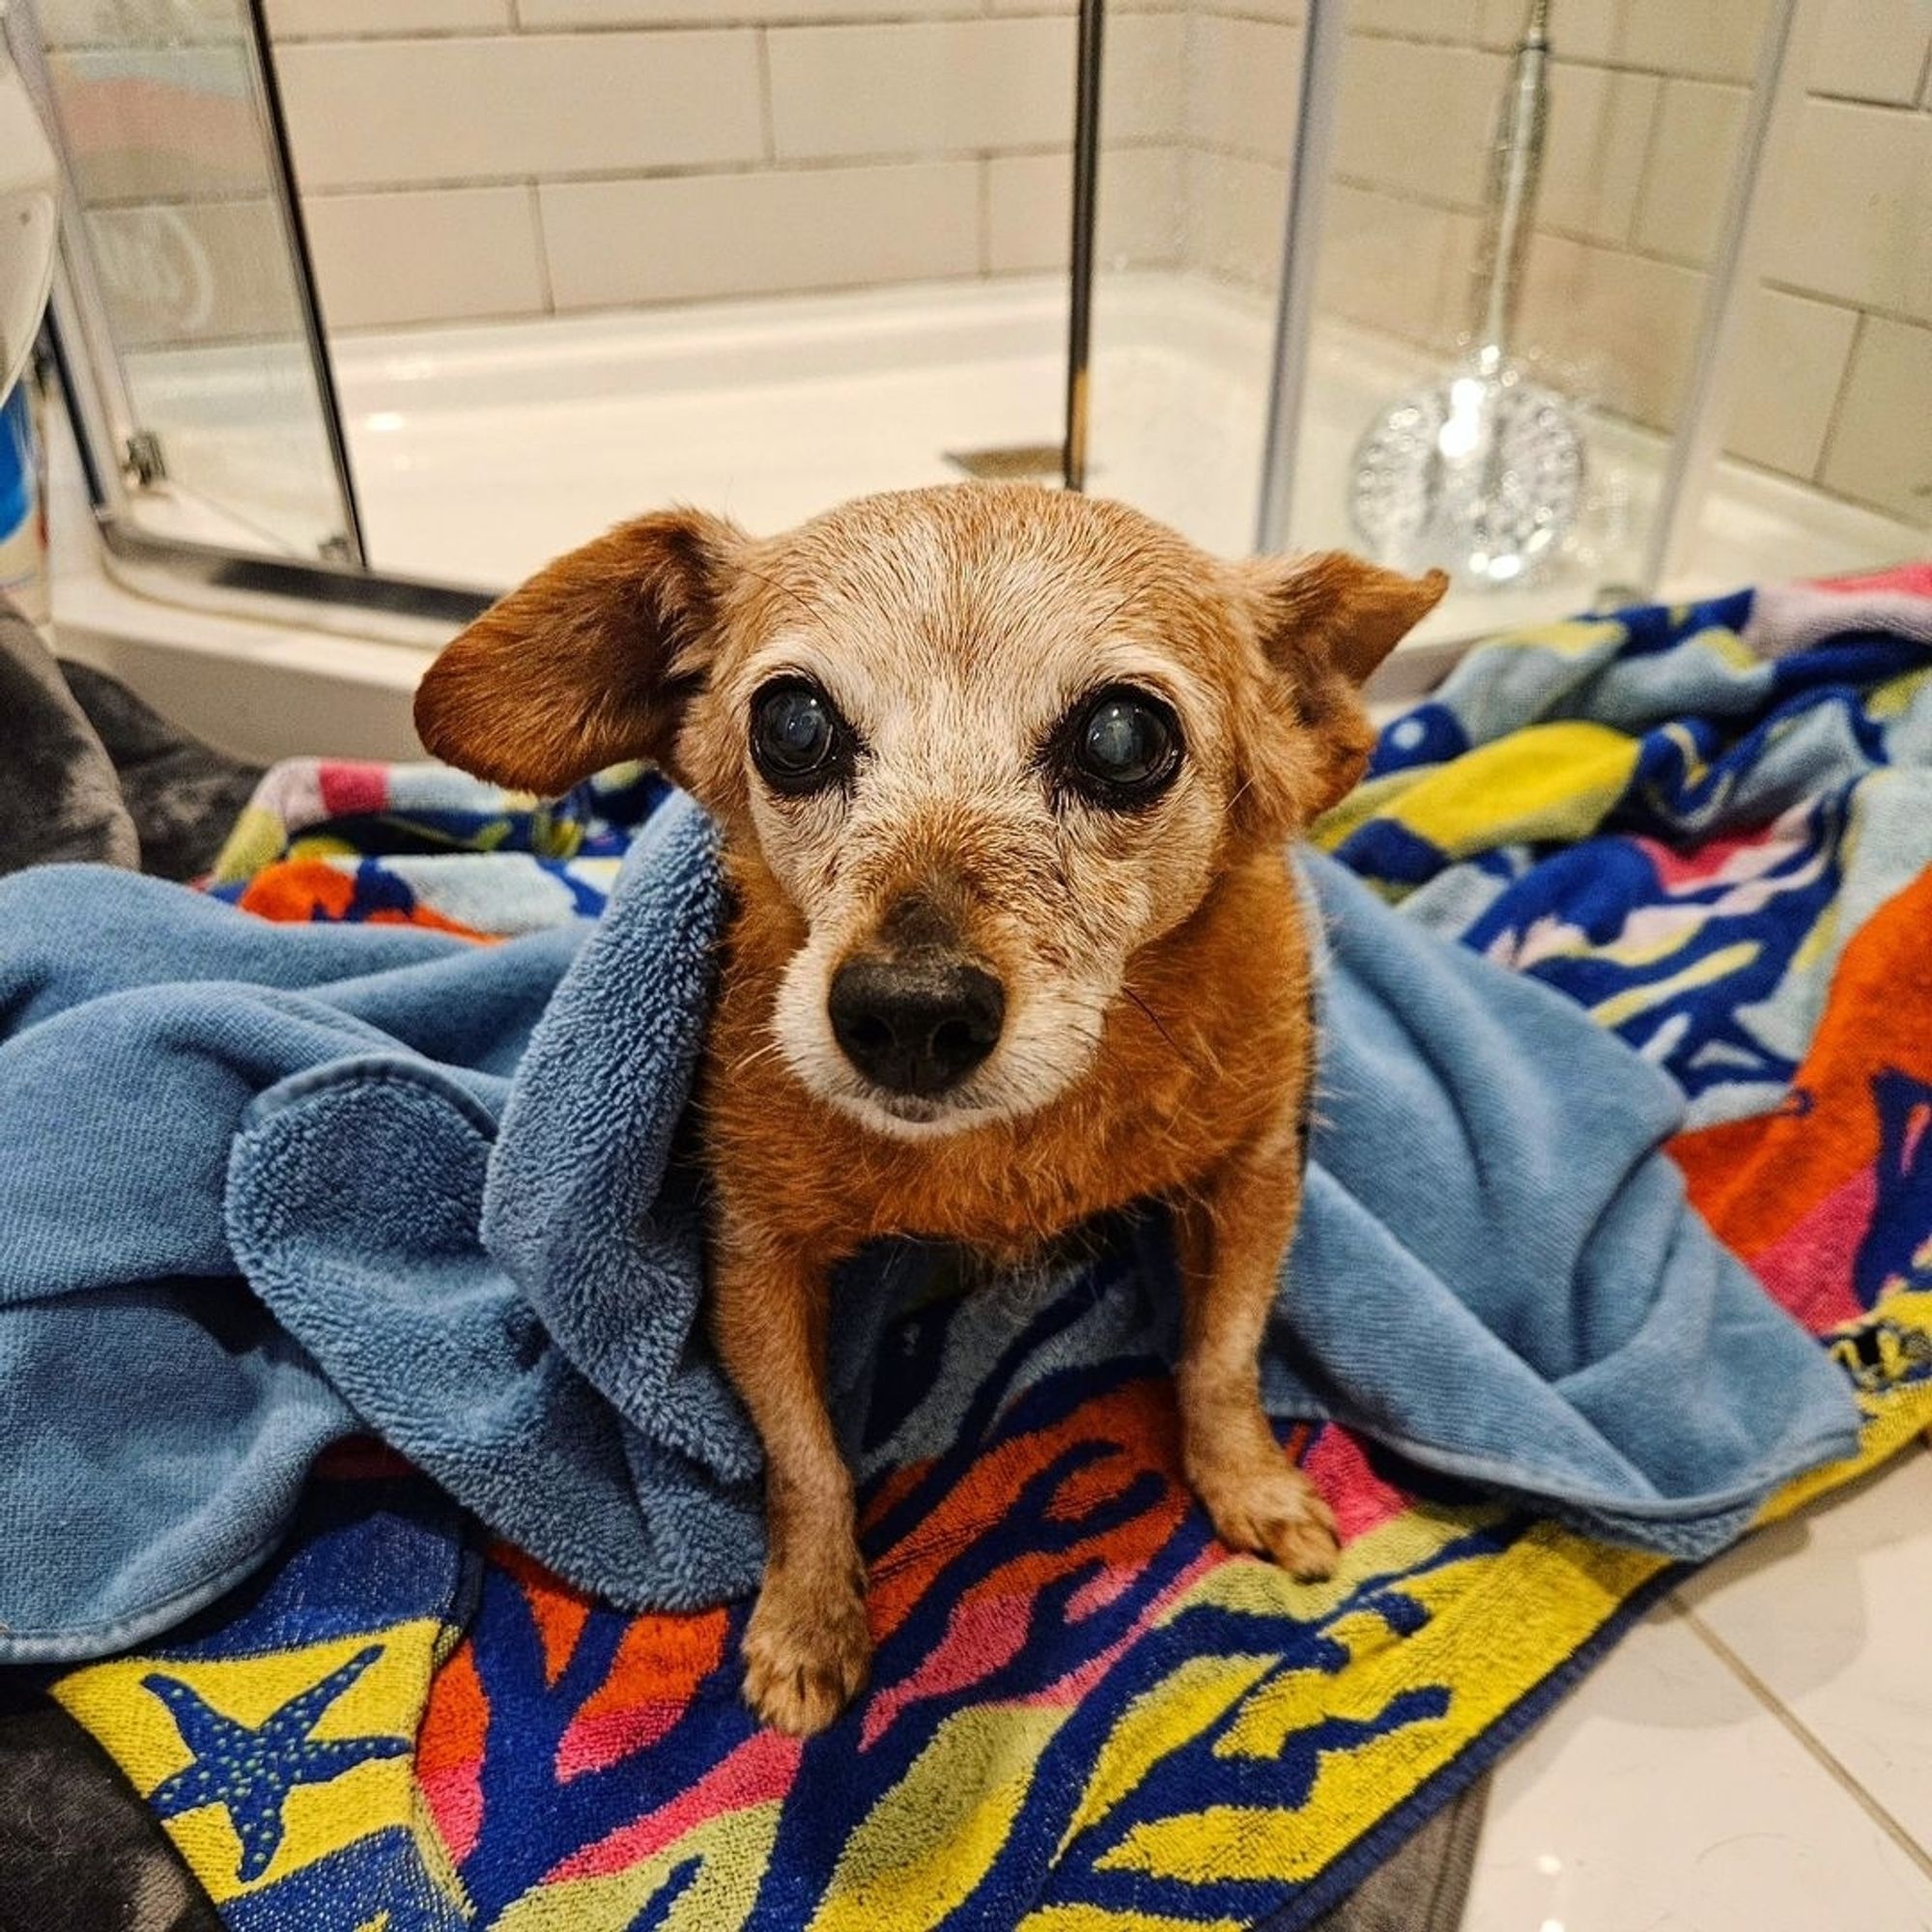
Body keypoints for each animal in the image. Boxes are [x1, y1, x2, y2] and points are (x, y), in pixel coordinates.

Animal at [427, 483, 1453, 1739]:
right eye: (792, 725)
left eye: (1124, 738)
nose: (906, 1012)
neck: (1006, 1148)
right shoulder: (755, 1253)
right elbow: (804, 1456)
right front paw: (811, 1612)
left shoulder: (1255, 1169)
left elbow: (1220, 1354)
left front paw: (1249, 1480)